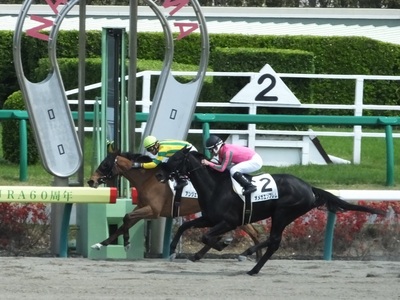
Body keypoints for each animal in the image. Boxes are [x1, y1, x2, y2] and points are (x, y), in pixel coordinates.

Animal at [87, 151, 260, 258]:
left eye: (104, 164)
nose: (91, 181)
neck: (148, 179)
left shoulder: (153, 211)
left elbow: (127, 217)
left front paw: (126, 243)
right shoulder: (142, 207)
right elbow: (126, 221)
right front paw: (101, 244)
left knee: (251, 232)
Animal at [164, 146, 386, 276]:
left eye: (175, 158)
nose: (160, 173)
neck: (215, 187)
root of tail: (309, 188)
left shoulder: (229, 221)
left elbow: (206, 236)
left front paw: (222, 243)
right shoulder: (210, 218)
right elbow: (185, 226)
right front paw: (173, 249)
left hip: (282, 213)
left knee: (274, 241)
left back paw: (250, 262)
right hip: (282, 215)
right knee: (273, 241)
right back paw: (251, 261)